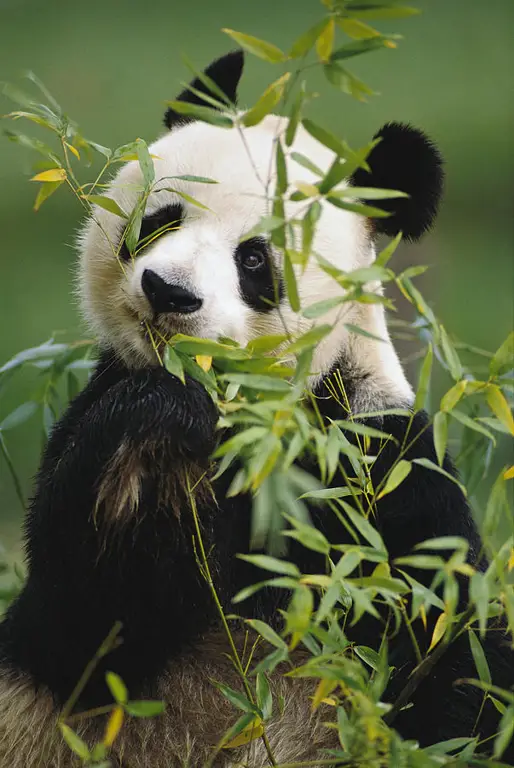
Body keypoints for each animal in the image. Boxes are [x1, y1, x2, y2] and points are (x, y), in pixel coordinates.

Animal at [0, 51, 510, 764]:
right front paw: (158, 429)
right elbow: (81, 623)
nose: (169, 292)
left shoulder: (374, 460)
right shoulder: (101, 407)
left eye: (252, 259)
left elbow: (448, 649)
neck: (250, 414)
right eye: (162, 217)